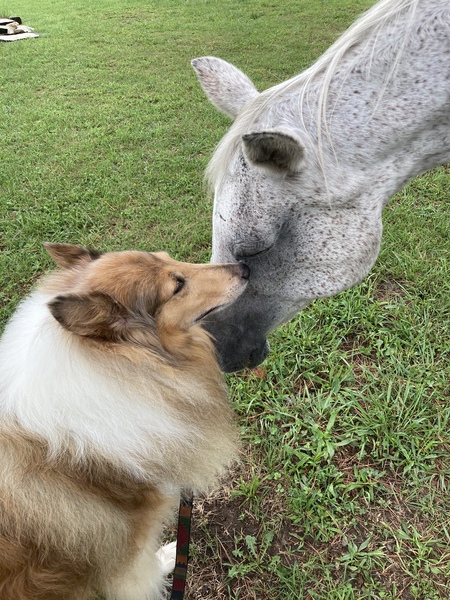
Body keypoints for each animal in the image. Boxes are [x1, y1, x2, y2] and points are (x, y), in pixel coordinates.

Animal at [0, 244, 250, 600]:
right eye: (176, 286)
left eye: (168, 256)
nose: (244, 268)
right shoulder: (127, 545)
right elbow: (142, 572)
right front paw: (169, 557)